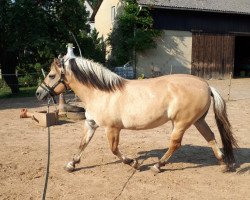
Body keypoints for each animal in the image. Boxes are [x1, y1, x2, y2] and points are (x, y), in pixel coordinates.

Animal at [35, 56, 238, 173]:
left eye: (51, 75)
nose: (38, 93)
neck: (101, 93)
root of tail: (206, 85)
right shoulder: (91, 124)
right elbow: (82, 143)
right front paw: (72, 164)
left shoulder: (112, 128)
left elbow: (114, 149)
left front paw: (134, 163)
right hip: (197, 121)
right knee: (210, 137)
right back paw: (223, 164)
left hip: (181, 123)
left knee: (175, 144)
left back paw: (157, 166)